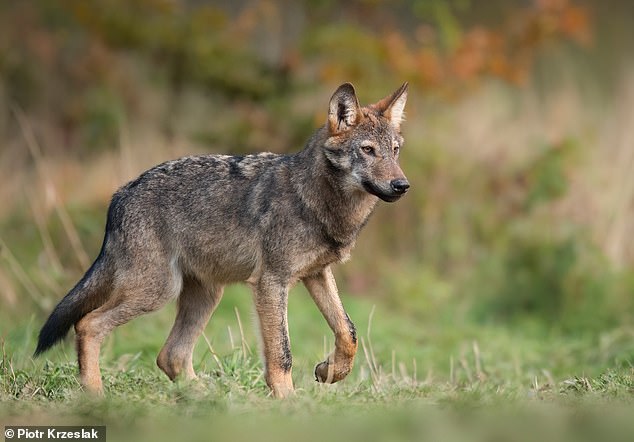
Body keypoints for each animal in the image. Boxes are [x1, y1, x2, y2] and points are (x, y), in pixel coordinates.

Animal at [34, 81, 410, 398]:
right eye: (367, 150)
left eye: (394, 150)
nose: (402, 185)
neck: (316, 200)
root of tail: (118, 196)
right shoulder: (271, 282)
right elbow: (282, 353)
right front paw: (289, 403)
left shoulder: (316, 274)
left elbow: (349, 333)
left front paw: (328, 371)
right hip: (157, 291)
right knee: (87, 325)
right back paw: (95, 395)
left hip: (206, 295)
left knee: (170, 356)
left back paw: (208, 398)